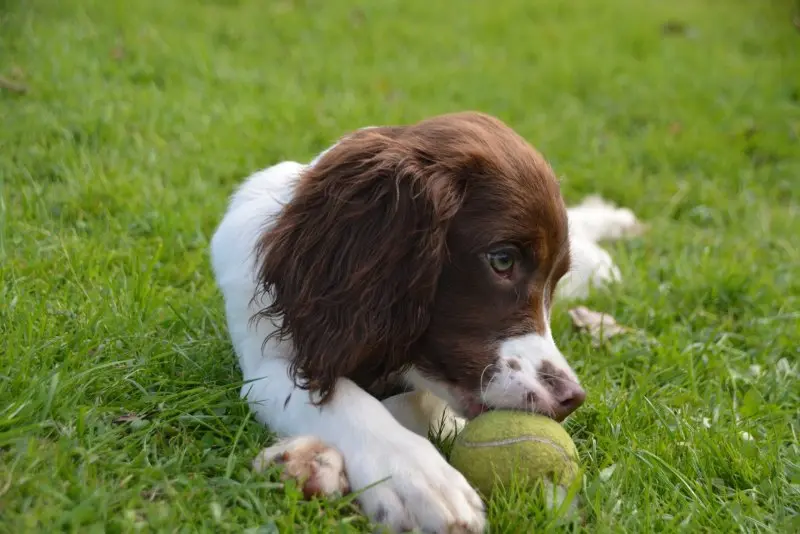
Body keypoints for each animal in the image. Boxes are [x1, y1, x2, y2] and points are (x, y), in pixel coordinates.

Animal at [209, 111, 640, 532]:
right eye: (502, 259)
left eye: (556, 281)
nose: (571, 398)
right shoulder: (266, 362)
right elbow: (340, 399)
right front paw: (412, 477)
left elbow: (411, 404)